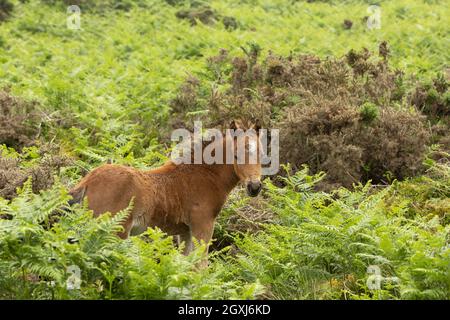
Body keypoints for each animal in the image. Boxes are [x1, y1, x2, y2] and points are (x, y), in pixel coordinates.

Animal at [68, 120, 262, 264]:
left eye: (262, 154)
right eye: (235, 155)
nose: (254, 187)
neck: (204, 175)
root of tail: (88, 180)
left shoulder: (185, 232)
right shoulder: (203, 225)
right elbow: (200, 267)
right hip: (115, 231)